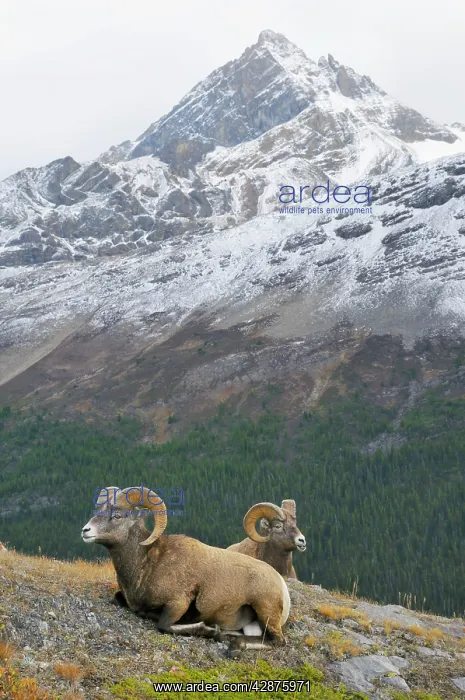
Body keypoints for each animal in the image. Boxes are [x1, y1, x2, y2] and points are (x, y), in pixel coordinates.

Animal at [81, 486, 290, 651]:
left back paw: (233, 645)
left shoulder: (178, 603)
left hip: (265, 609)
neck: (147, 563)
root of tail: (281, 585)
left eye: (117, 515)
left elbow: (163, 625)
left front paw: (209, 630)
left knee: (277, 641)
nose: (85, 531)